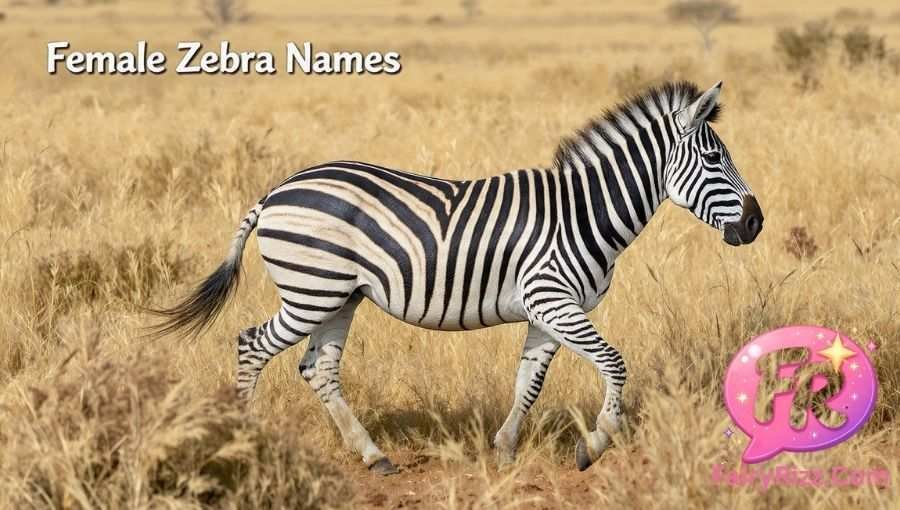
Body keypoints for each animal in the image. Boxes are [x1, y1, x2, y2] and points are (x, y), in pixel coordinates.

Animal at [152, 80, 763, 474]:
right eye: (715, 160)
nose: (756, 223)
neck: (582, 211)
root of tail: (275, 191)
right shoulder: (553, 299)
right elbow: (614, 363)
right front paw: (594, 445)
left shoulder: (548, 309)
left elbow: (528, 382)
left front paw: (506, 450)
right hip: (311, 290)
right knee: (251, 345)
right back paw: (245, 444)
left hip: (338, 296)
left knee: (317, 368)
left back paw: (373, 456)